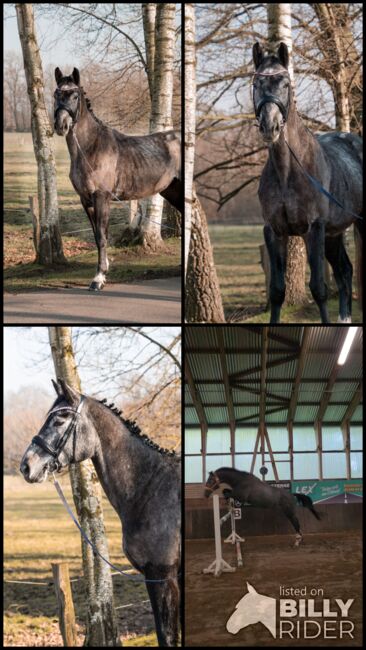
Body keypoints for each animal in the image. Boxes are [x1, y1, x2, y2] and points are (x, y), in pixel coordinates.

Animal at [53, 67, 182, 288]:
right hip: (172, 190)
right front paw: (102, 273)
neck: (90, 148)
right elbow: (98, 236)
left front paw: (98, 279)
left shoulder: (102, 198)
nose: (61, 125)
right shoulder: (85, 200)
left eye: (75, 96)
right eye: (56, 95)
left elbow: (102, 237)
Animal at [253, 42, 362, 322]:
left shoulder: (314, 229)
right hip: (334, 234)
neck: (288, 171)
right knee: (345, 272)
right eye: (256, 83)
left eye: (285, 83)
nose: (270, 126)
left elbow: (319, 288)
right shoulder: (274, 231)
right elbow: (277, 290)